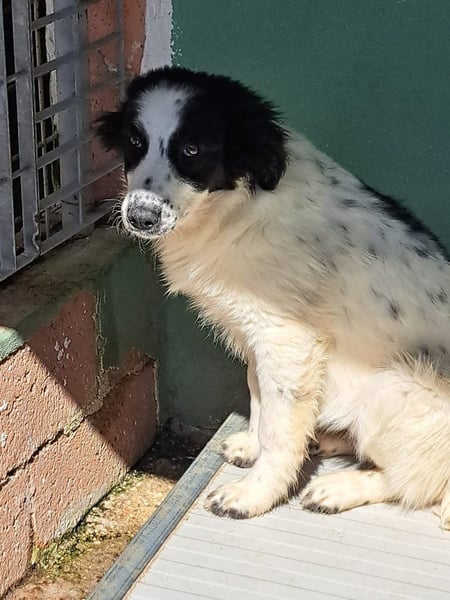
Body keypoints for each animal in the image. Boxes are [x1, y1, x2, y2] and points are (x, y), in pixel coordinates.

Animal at [97, 66, 450, 528]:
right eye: (135, 142)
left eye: (192, 149)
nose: (140, 217)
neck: (234, 208)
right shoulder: (255, 337)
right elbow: (260, 398)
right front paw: (252, 446)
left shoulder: (287, 339)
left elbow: (279, 428)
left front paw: (253, 495)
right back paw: (326, 440)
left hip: (392, 388)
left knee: (418, 483)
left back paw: (339, 487)